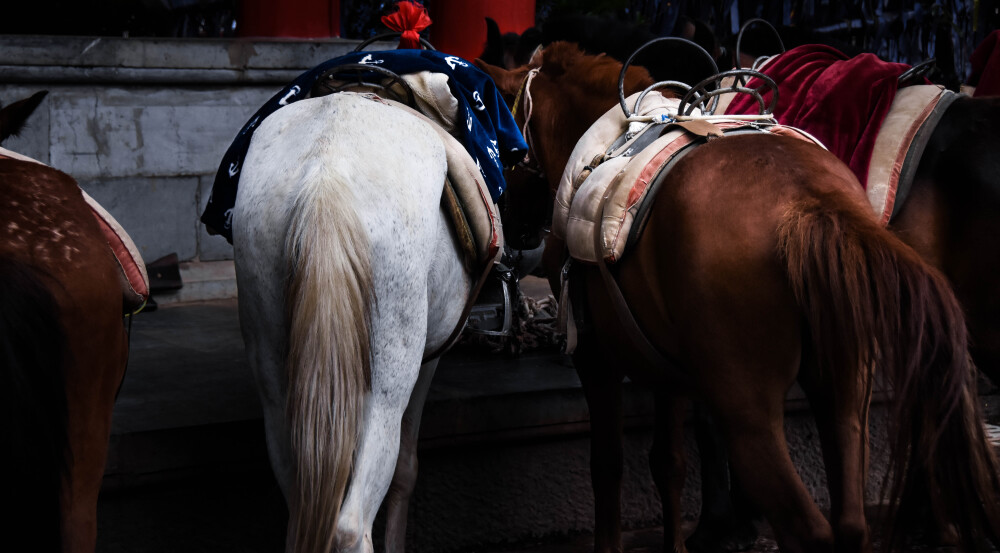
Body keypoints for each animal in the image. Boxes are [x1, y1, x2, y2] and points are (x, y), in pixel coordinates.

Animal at [234, 91, 472, 552]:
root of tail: (326, 175)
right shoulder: (428, 359)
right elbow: (406, 467)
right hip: (388, 379)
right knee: (351, 523)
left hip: (272, 359)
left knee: (301, 504)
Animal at [474, 43, 1000, 552]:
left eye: (507, 145)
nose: (517, 237)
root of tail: (813, 203)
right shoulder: (665, 366)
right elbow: (669, 463)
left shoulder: (595, 358)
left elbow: (608, 469)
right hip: (847, 394)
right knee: (851, 525)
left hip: (748, 409)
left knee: (808, 530)